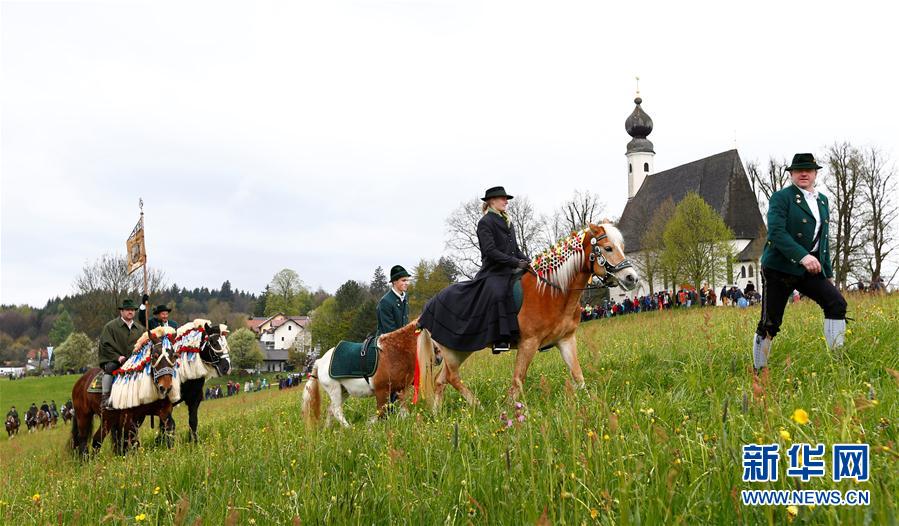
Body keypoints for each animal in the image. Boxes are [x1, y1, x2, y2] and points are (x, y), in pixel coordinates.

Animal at [70, 330, 179, 458]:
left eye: (173, 356)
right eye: (155, 356)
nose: (165, 387)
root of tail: (80, 381)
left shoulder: (161, 412)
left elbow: (169, 427)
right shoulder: (128, 418)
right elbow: (132, 441)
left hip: (108, 419)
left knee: (97, 440)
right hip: (83, 416)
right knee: (83, 439)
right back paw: (85, 460)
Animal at [416, 223, 640, 408]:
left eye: (621, 246)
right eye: (608, 248)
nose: (632, 278)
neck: (553, 292)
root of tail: (427, 307)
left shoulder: (566, 340)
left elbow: (578, 375)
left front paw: (590, 403)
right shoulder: (528, 343)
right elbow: (518, 380)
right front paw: (510, 410)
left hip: (459, 350)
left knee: (440, 380)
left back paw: (438, 415)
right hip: (453, 352)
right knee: (452, 378)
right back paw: (477, 406)